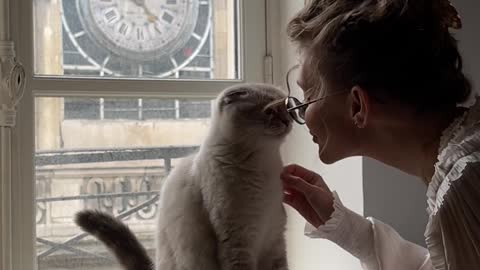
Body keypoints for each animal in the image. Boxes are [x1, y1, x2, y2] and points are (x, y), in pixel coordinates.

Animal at [75, 83, 292, 270]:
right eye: (270, 111)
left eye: (287, 109)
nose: (288, 120)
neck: (264, 167)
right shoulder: (239, 240)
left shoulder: (274, 239)